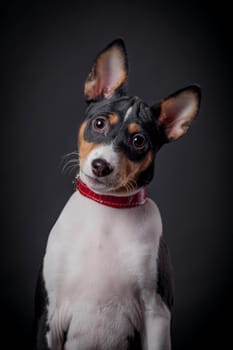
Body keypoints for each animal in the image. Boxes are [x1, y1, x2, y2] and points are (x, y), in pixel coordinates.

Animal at [34, 39, 200, 350]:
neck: (107, 209)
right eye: (99, 124)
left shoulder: (157, 314)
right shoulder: (49, 315)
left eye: (138, 141)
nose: (101, 166)